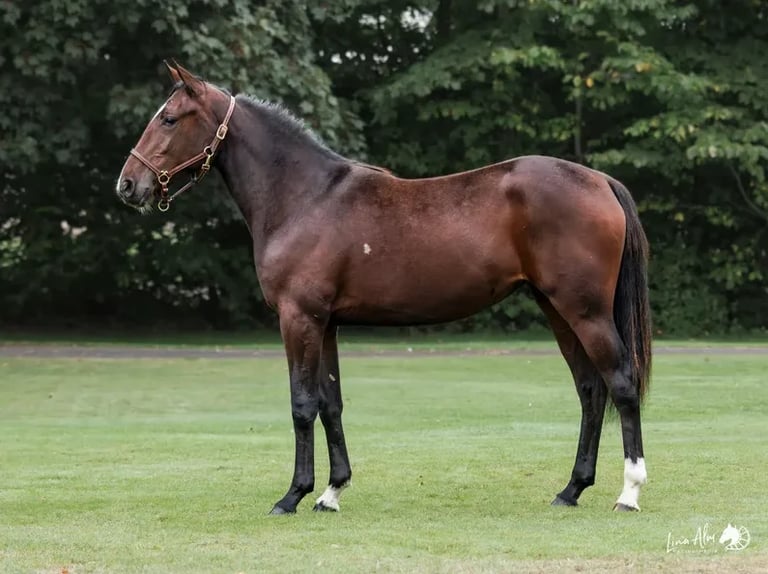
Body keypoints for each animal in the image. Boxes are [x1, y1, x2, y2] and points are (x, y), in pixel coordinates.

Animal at [116, 62, 652, 515]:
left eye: (169, 119)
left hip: (584, 311)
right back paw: (572, 489)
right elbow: (330, 403)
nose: (128, 185)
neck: (305, 197)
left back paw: (629, 493)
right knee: (590, 391)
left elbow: (302, 404)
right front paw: (331, 493)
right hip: (557, 309)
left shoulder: (299, 318)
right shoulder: (326, 324)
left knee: (621, 384)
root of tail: (598, 180)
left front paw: (292, 495)